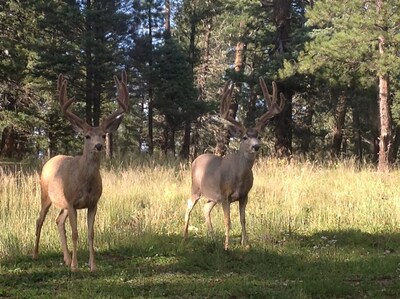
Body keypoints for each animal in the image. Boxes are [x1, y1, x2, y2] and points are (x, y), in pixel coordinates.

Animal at [33, 70, 130, 272]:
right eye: (87, 136)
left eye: (103, 135)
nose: (99, 146)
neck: (85, 182)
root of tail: (50, 159)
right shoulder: (71, 202)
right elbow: (75, 233)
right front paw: (76, 267)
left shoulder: (92, 203)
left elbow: (91, 233)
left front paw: (92, 266)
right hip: (45, 195)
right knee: (40, 220)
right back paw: (35, 254)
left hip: (62, 204)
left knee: (58, 221)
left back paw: (66, 258)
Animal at [183, 79, 286, 251]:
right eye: (244, 137)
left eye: (259, 136)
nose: (256, 146)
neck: (239, 176)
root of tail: (196, 159)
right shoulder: (225, 195)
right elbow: (228, 221)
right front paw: (227, 246)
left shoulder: (244, 195)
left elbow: (243, 220)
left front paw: (246, 245)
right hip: (195, 188)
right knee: (188, 206)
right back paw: (185, 237)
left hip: (212, 197)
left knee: (205, 208)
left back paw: (212, 237)